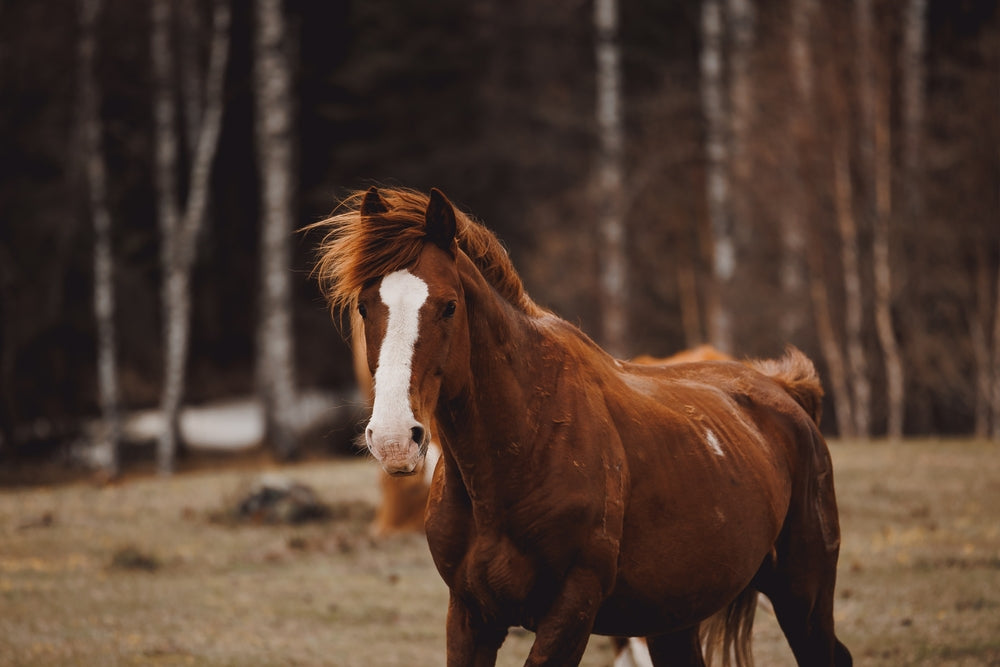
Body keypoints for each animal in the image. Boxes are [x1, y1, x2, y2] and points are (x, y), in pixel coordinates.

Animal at [312, 186, 851, 666]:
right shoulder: (469, 614)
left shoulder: (573, 609)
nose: (394, 440)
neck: (523, 450)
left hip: (803, 595)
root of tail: (785, 391)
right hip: (674, 618)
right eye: (364, 306)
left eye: (448, 306)